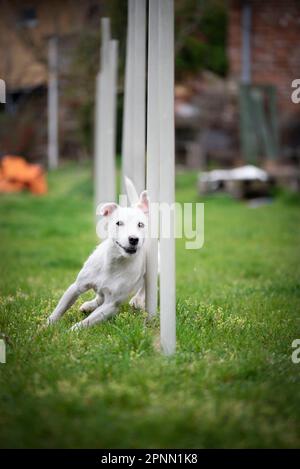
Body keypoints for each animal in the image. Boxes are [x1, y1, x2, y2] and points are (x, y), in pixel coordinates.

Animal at [46, 179, 148, 330]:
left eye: (141, 224)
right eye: (118, 223)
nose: (134, 239)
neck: (114, 262)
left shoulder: (110, 305)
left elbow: (87, 321)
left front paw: (71, 331)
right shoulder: (75, 287)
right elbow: (59, 309)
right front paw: (44, 327)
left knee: (144, 286)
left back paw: (138, 300)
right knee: (99, 297)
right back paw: (89, 305)